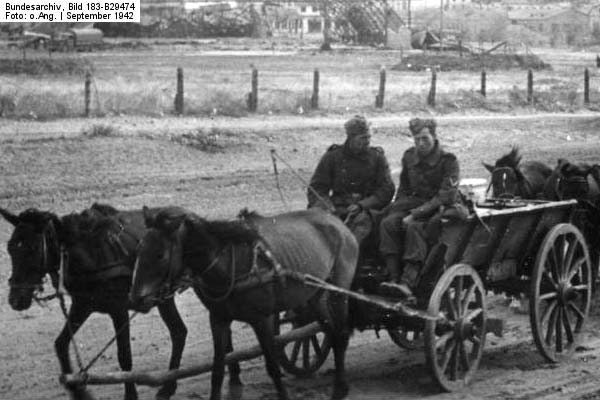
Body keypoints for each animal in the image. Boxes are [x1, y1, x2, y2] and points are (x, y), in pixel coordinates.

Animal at [0, 205, 214, 400]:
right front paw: (78, 390)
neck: (92, 253)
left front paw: (130, 396)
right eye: (10, 247)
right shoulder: (82, 306)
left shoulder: (119, 310)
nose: (15, 300)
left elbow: (125, 356)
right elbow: (61, 344)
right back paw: (167, 388)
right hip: (163, 298)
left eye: (33, 249)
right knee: (179, 332)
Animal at [129, 206, 358, 400]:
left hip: (338, 293)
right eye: (138, 249)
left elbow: (273, 367)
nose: (135, 299)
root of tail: (337, 222)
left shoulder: (262, 320)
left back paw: (340, 387)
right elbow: (218, 370)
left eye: (160, 255)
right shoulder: (218, 320)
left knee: (341, 335)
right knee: (332, 333)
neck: (231, 265)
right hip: (315, 298)